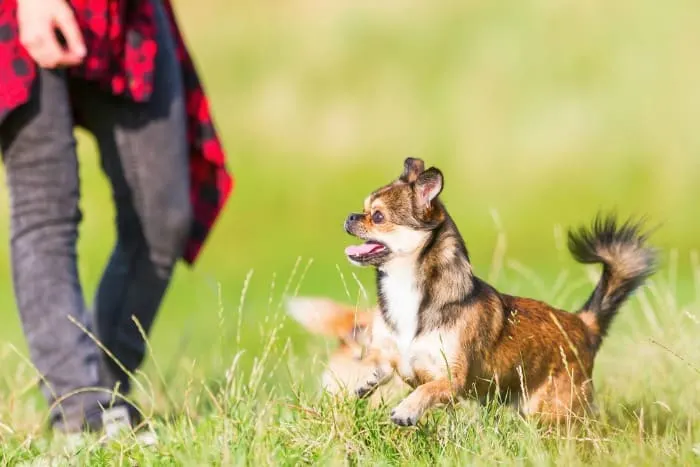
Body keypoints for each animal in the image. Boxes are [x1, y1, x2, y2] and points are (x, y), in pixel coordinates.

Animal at [340, 158, 656, 428]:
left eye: (378, 216)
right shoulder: (392, 353)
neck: (406, 289)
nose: (351, 216)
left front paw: (407, 409)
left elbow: (428, 388)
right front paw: (361, 379)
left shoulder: (453, 378)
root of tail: (583, 324)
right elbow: (376, 362)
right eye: (364, 209)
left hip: (553, 412)